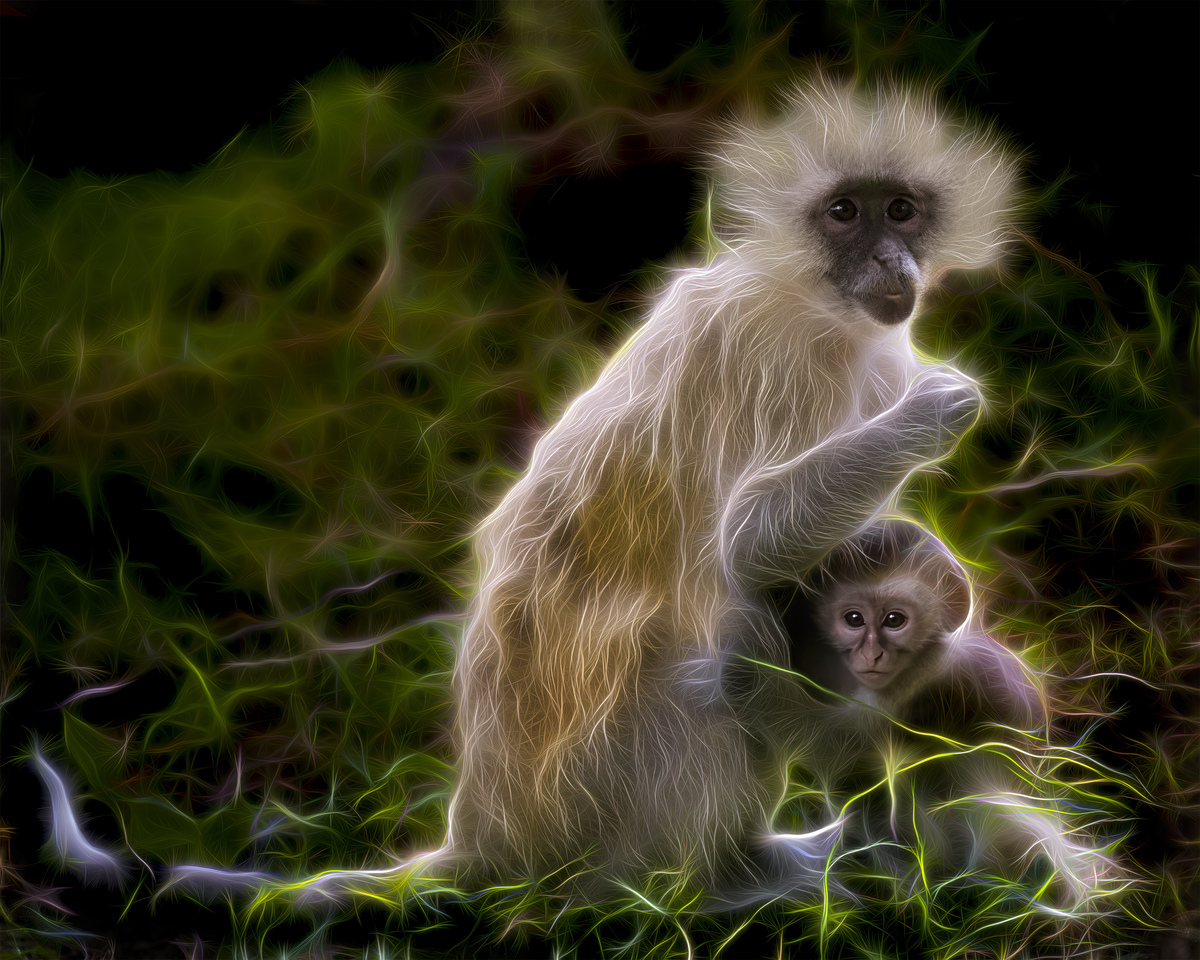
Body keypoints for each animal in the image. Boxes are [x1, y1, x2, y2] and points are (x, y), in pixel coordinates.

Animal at [432, 70, 1026, 904]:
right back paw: (723, 877)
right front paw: (942, 406)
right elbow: (753, 543)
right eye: (844, 213)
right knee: (732, 618)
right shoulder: (785, 356)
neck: (809, 294)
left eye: (901, 211)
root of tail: (487, 833)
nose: (890, 260)